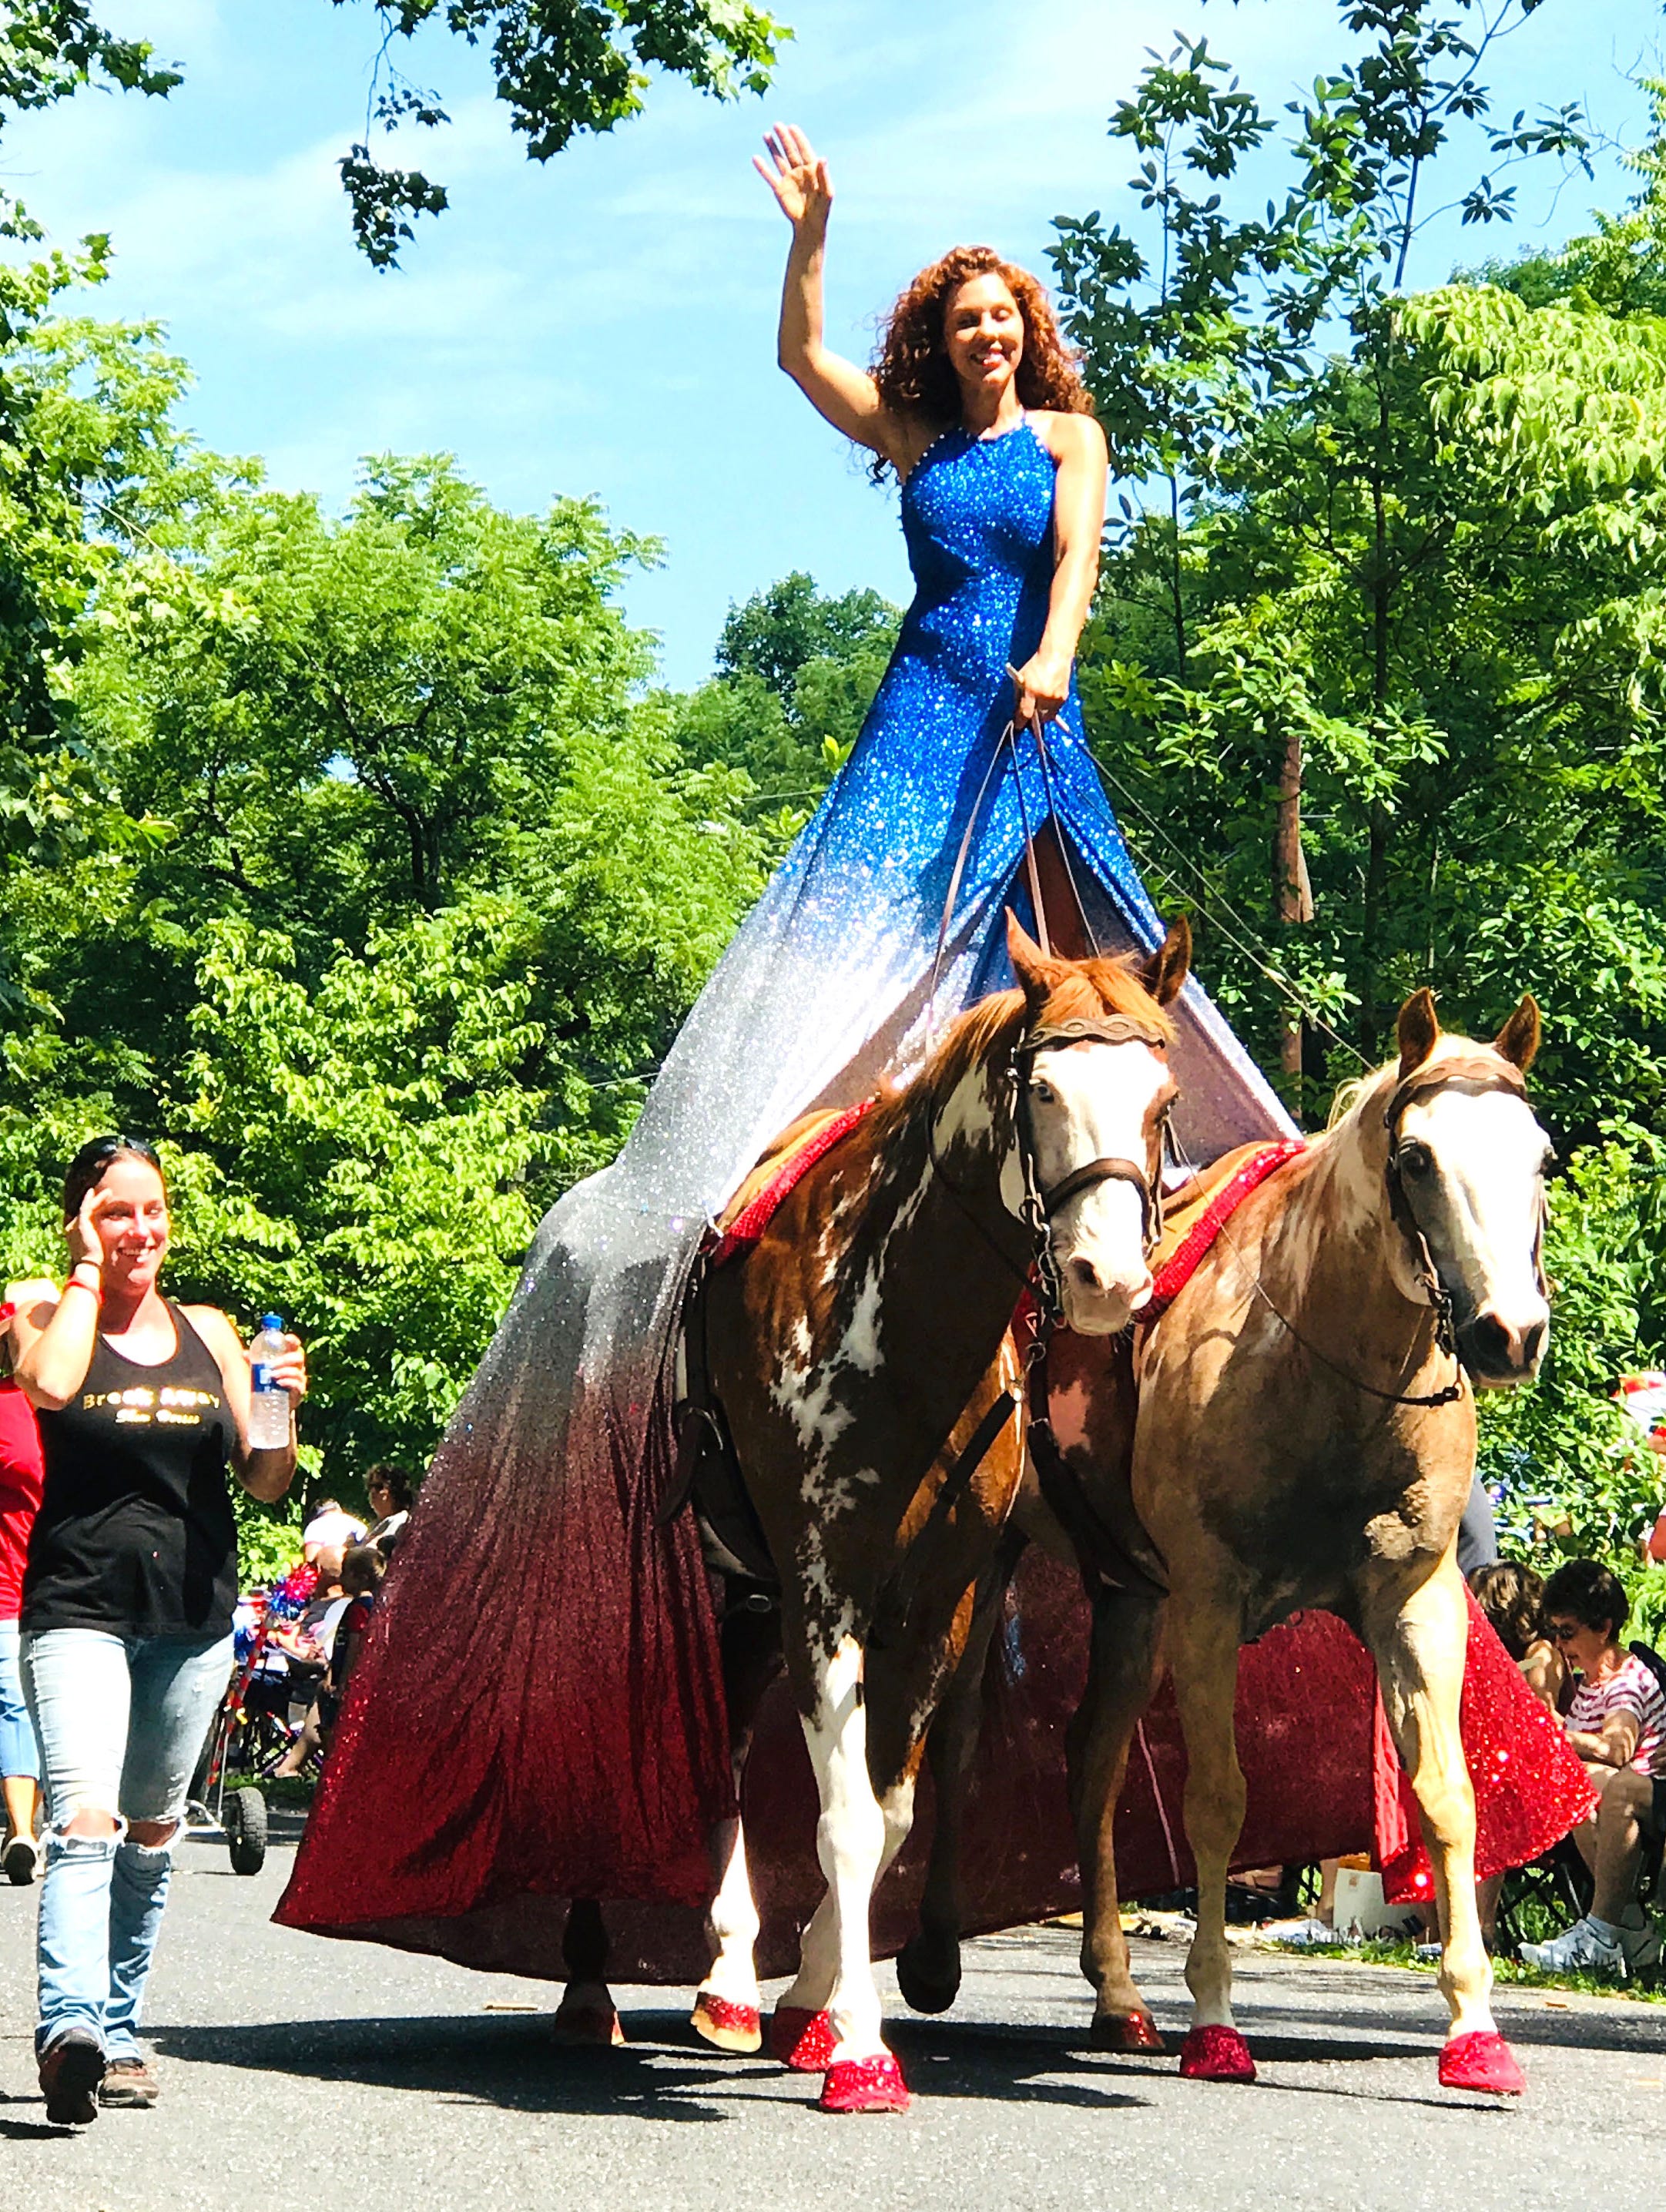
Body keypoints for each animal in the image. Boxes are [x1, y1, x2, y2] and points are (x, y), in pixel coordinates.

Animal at [681, 911, 1185, 2106]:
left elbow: (889, 1807)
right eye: (1039, 1089)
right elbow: (845, 1818)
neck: (898, 1325)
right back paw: (692, 1978)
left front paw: (819, 1997)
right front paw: (859, 2047)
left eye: (1163, 1099)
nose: (1105, 1279)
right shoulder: (825, 1588)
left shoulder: (935, 1597)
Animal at [898, 986, 1548, 2088]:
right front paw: (1212, 2016)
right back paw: (939, 1947)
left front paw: (1473, 2026)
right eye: (1418, 1157)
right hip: (994, 1564)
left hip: (1130, 1594)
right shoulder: (1208, 1601)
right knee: (960, 1733)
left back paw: (1118, 1993)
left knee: (1092, 1757)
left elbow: (1446, 1795)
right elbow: (1218, 1799)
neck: (1324, 1367)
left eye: (1539, 1155)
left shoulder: (1414, 1598)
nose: (1509, 1331)